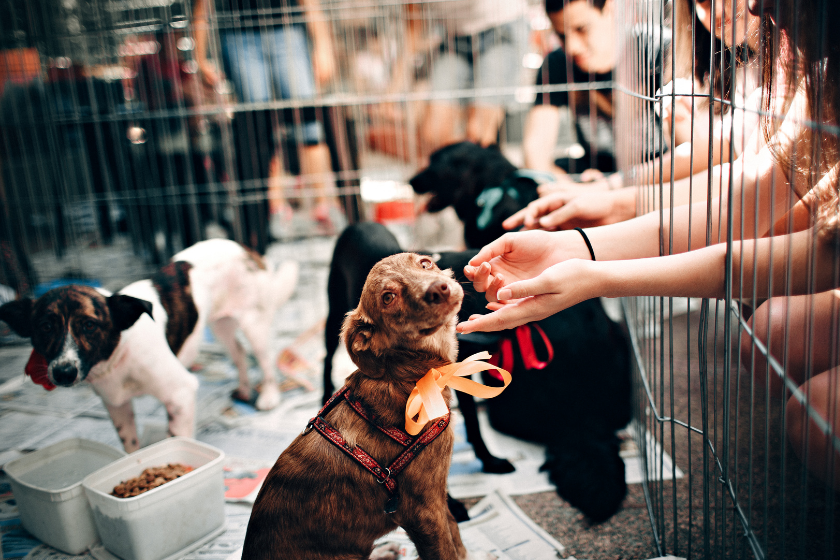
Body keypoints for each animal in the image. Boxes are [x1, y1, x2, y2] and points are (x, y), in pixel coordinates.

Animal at [0, 238, 300, 452]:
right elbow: (131, 446)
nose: (63, 372)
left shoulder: (180, 394)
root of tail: (244, 248)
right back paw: (245, 389)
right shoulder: (116, 406)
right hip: (219, 324)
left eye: (89, 325)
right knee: (238, 352)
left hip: (254, 322)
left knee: (265, 358)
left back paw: (268, 396)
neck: (120, 352)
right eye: (45, 327)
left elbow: (178, 440)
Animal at [324, 221, 632, 524]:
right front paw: (451, 505)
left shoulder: (461, 373)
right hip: (333, 316)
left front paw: (488, 461)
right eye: (388, 297)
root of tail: (359, 222)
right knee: (327, 359)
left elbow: (473, 425)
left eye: (425, 264)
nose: (441, 289)